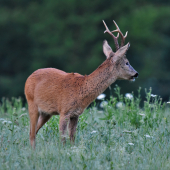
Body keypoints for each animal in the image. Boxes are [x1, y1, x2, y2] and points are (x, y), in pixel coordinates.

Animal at [24, 19, 138, 148]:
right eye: (127, 62)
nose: (136, 74)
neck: (81, 89)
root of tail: (29, 77)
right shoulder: (64, 111)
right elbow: (62, 138)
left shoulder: (75, 114)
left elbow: (72, 137)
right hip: (31, 103)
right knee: (32, 133)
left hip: (46, 112)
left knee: (34, 131)